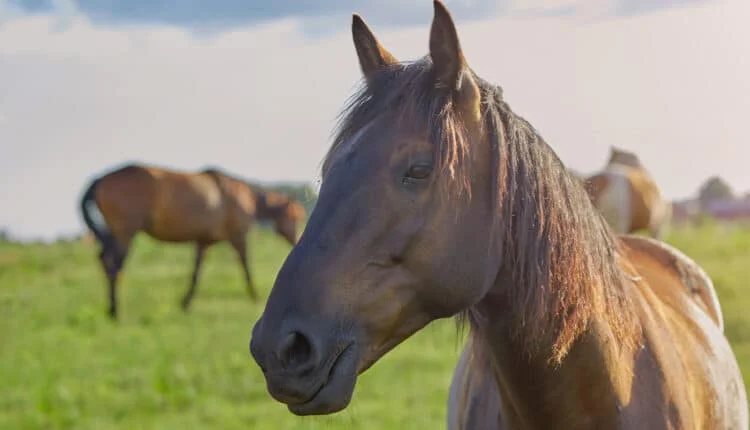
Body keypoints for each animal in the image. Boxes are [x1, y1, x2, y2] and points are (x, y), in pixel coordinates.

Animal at [79, 162, 306, 319]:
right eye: (294, 218)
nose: (296, 240)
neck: (242, 197)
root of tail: (100, 179)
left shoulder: (203, 241)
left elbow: (196, 274)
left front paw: (185, 303)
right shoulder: (238, 237)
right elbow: (246, 268)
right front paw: (256, 296)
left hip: (114, 232)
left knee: (104, 260)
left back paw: (111, 308)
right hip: (126, 232)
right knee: (115, 266)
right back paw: (116, 311)